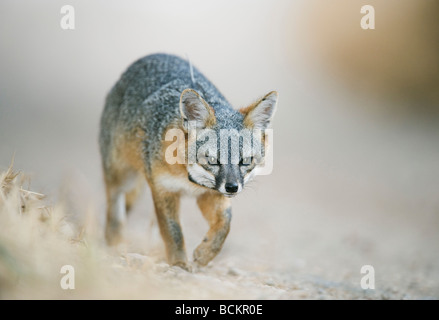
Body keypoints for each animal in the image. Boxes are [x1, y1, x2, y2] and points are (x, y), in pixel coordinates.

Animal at [100, 53, 278, 270]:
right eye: (213, 159)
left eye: (246, 161)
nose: (232, 187)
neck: (189, 179)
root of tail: (156, 55)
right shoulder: (164, 189)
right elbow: (173, 231)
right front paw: (178, 263)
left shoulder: (209, 193)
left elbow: (225, 222)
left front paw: (206, 253)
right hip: (123, 175)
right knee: (114, 204)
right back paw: (115, 242)